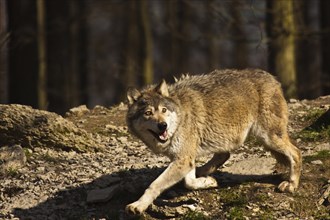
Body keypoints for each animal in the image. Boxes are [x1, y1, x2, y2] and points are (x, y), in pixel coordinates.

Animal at [125, 69, 302, 215]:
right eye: (148, 113)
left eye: (163, 110)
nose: (163, 125)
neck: (181, 116)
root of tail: (273, 79)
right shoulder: (186, 159)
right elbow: (189, 182)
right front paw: (207, 182)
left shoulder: (183, 159)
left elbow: (155, 184)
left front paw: (138, 205)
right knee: (225, 155)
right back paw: (204, 171)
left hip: (269, 138)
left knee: (296, 153)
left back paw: (291, 184)